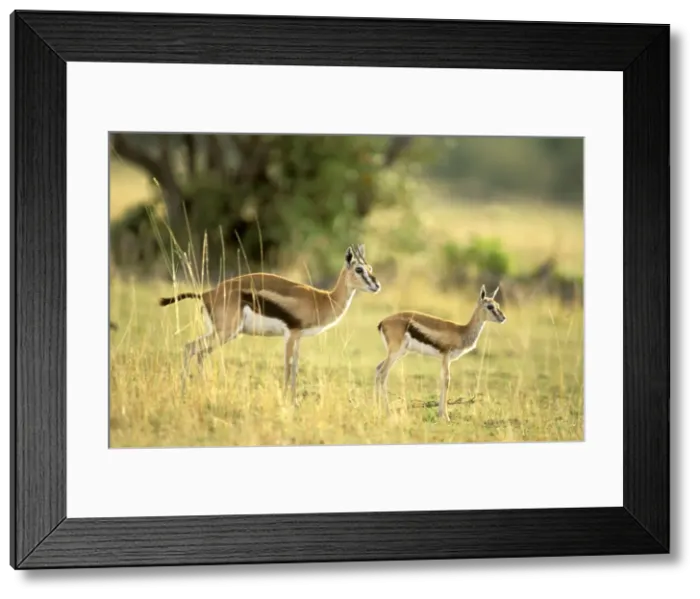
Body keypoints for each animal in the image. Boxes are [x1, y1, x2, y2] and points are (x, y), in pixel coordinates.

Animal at [158, 244, 381, 403]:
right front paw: (286, 401)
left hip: (220, 334)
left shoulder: (298, 337)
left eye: (370, 268)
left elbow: (295, 367)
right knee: (191, 347)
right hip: (225, 333)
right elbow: (287, 366)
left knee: (198, 353)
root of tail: (206, 294)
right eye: (359, 269)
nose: (376, 285)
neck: (322, 299)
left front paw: (293, 401)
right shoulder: (290, 334)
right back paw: (185, 393)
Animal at [375, 284, 506, 422]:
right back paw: (388, 413)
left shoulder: (445, 359)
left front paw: (440, 414)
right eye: (490, 306)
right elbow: (446, 380)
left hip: (399, 353)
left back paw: (378, 409)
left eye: (498, 305)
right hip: (395, 352)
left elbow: (442, 380)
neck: (461, 332)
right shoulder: (446, 357)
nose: (503, 318)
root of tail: (382, 322)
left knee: (378, 369)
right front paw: (446, 417)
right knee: (383, 373)